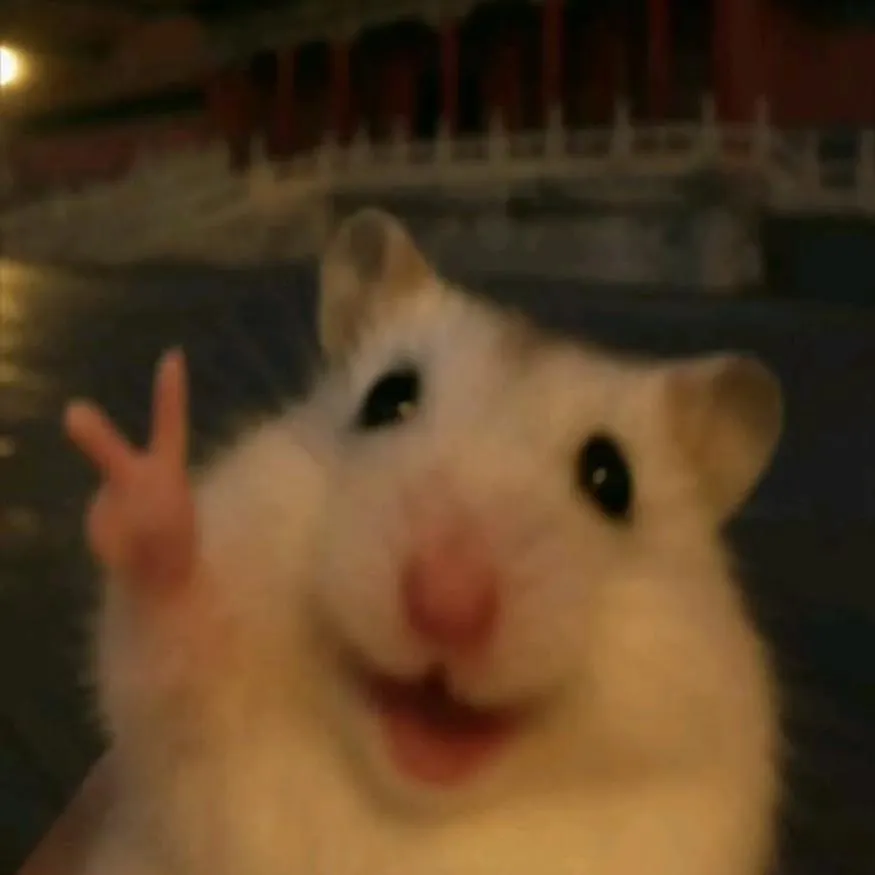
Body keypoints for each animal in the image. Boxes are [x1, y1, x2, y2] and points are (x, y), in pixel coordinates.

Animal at [64, 208, 784, 875]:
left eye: (612, 480)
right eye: (387, 398)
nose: (447, 604)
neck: (412, 801)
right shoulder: (195, 744)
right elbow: (174, 645)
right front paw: (150, 492)